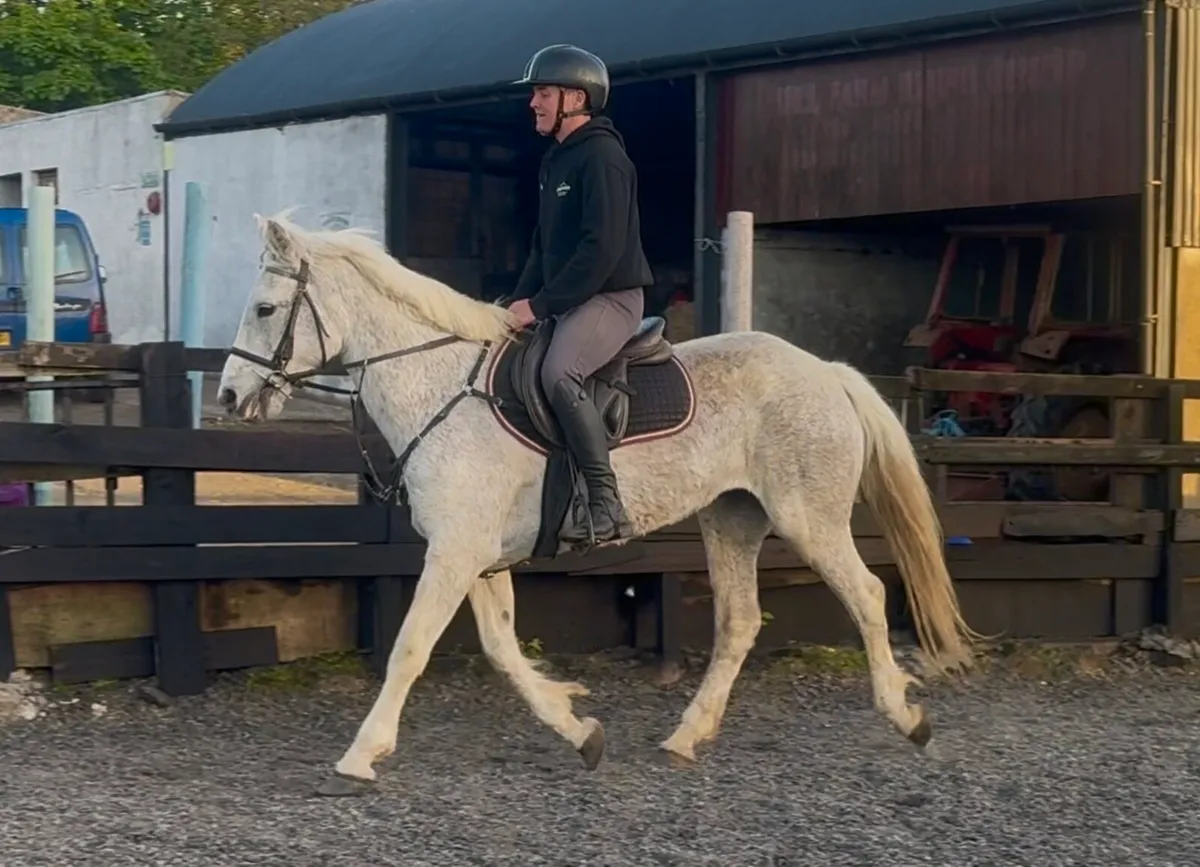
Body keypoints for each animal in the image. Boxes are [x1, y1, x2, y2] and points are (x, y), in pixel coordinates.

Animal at [217, 211, 979, 792]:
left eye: (264, 309)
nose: (228, 397)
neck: (440, 383)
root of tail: (825, 369)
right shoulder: (478, 556)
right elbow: (501, 648)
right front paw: (578, 727)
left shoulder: (456, 552)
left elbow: (410, 648)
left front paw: (361, 753)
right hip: (732, 518)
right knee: (739, 622)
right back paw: (685, 736)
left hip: (808, 518)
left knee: (867, 596)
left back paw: (906, 717)